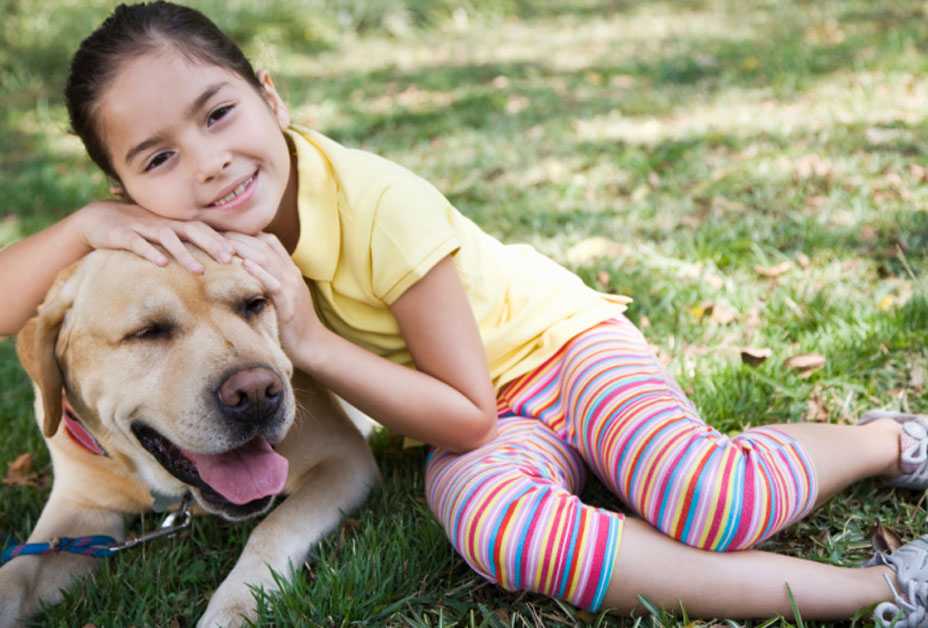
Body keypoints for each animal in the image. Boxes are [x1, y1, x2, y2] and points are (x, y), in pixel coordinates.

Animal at [0, 248, 378, 624]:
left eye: (254, 304)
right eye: (148, 331)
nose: (256, 393)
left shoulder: (342, 460)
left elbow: (275, 526)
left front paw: (236, 603)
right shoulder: (79, 511)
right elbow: (17, 575)